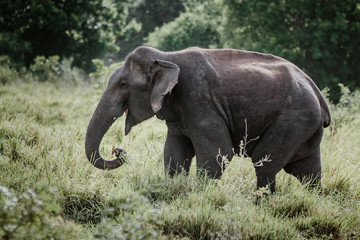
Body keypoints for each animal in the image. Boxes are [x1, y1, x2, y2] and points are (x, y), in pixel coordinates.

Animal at [85, 46, 332, 193]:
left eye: (123, 84)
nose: (118, 150)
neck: (166, 57)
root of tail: (318, 94)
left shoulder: (198, 100)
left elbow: (217, 154)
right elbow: (175, 153)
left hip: (294, 119)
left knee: (266, 163)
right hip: (304, 127)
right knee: (307, 171)